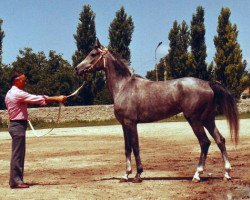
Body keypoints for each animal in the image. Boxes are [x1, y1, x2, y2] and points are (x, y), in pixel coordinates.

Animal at [75, 39, 239, 184]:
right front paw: (125, 175)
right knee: (220, 140)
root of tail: (208, 83)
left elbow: (135, 147)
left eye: (93, 54)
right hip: (208, 120)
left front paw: (137, 175)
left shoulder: (131, 123)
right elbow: (127, 148)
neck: (123, 86)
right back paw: (226, 174)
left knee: (205, 142)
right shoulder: (124, 125)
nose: (77, 69)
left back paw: (197, 175)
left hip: (194, 120)